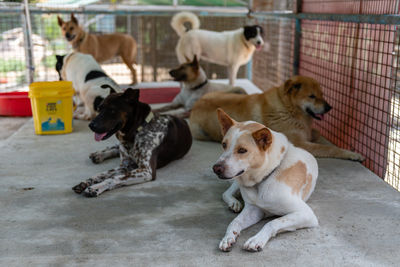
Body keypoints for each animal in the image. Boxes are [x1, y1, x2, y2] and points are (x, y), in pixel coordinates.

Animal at [212, 109, 318, 253]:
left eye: (242, 150)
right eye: (224, 144)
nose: (216, 168)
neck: (264, 178)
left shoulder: (306, 214)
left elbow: (273, 222)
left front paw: (256, 240)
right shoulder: (254, 210)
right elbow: (235, 222)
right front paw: (228, 238)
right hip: (236, 182)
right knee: (226, 193)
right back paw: (234, 203)